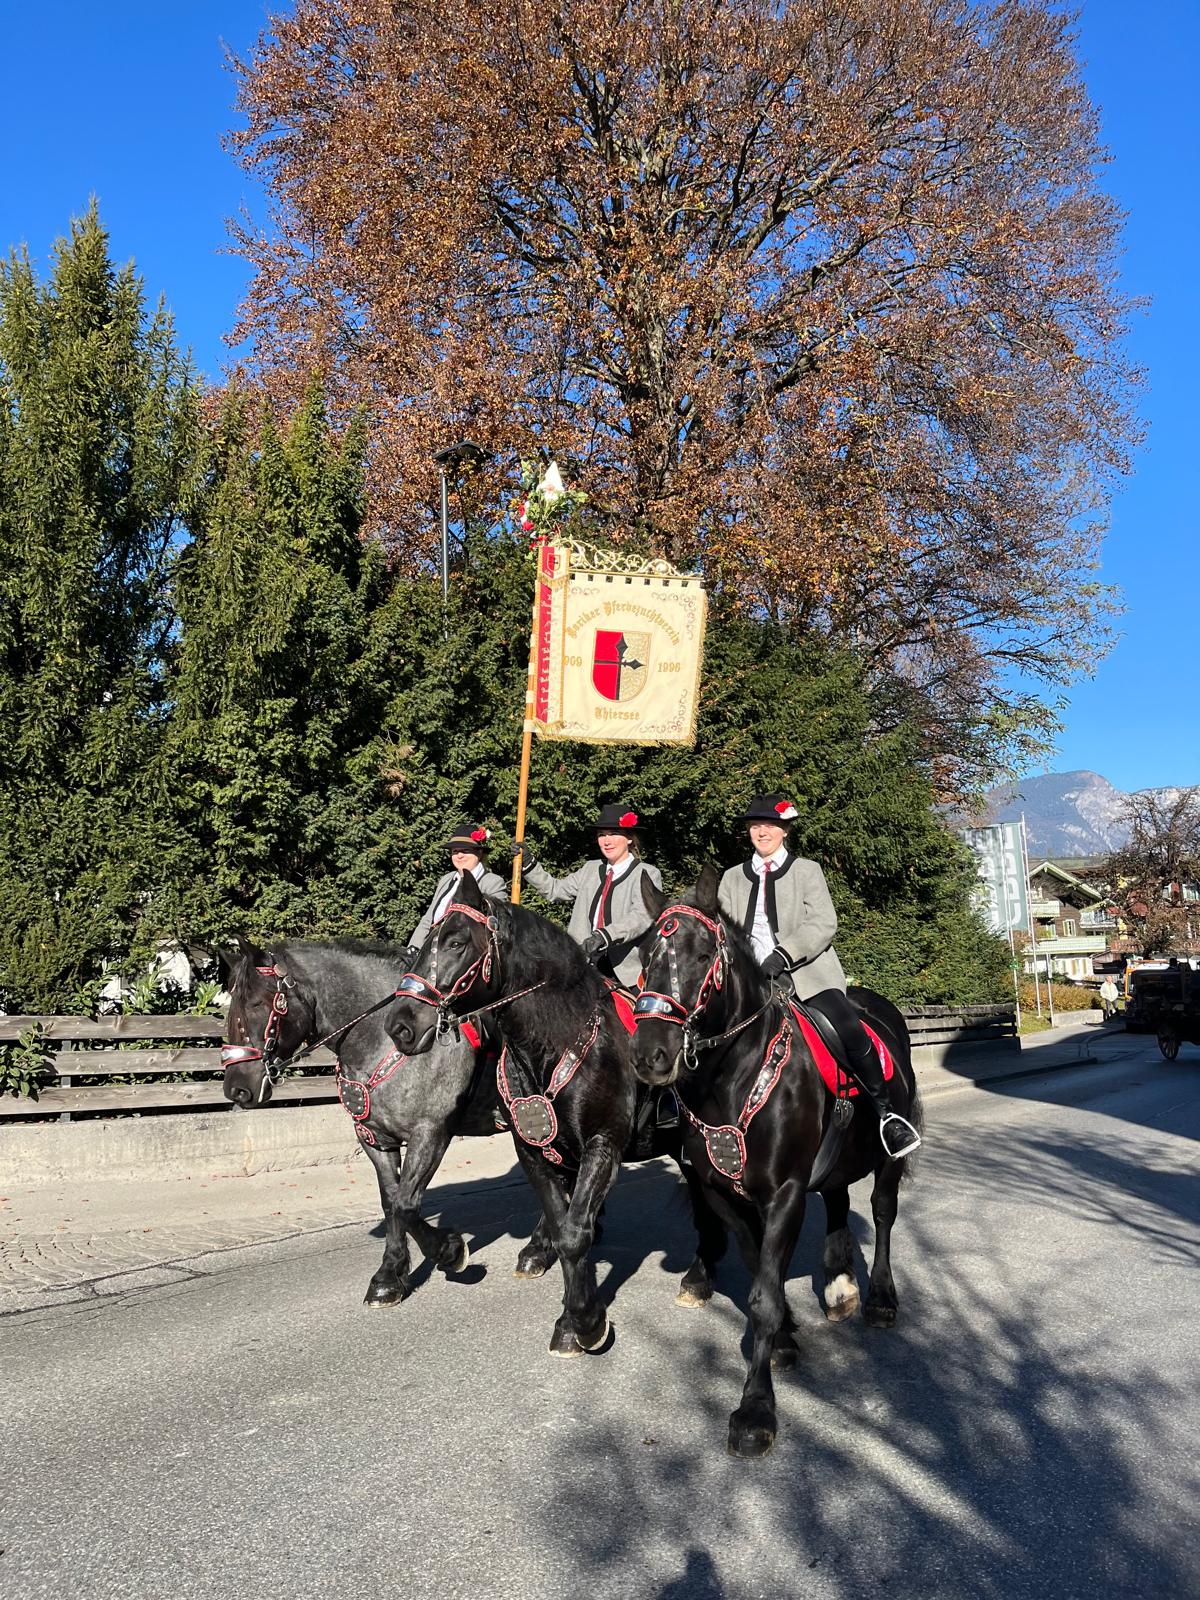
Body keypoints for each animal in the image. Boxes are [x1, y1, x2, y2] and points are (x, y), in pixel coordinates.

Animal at [220, 936, 555, 1306]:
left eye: (255, 1003)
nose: (236, 1087)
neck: (382, 1040)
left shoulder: (430, 1133)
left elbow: (405, 1204)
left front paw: (449, 1251)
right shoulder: (375, 1139)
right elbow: (390, 1201)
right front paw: (389, 1275)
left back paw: (540, 1249)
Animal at [384, 870, 729, 1358]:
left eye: (456, 942)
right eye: (427, 940)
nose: (400, 1024)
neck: (556, 1042)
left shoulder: (603, 1146)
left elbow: (574, 1232)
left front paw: (585, 1323)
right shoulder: (531, 1150)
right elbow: (560, 1221)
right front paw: (453, 1251)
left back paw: (699, 1279)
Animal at [630, 869, 923, 1459]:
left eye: (703, 954)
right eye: (645, 955)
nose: (651, 1052)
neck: (732, 1076)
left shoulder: (784, 1192)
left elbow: (764, 1295)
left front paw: (755, 1411)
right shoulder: (723, 1194)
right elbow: (757, 1270)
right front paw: (786, 1338)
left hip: (886, 1157)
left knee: (882, 1214)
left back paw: (879, 1297)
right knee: (836, 1201)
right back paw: (838, 1282)